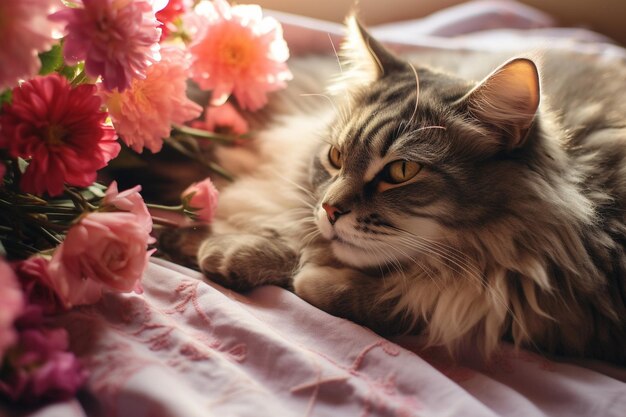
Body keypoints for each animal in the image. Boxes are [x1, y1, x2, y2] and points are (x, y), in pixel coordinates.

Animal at [162, 15, 624, 360]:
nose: (330, 209)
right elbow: (295, 230)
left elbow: (415, 300)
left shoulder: (549, 310)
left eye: (401, 171)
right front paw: (235, 250)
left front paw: (311, 279)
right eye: (335, 157)